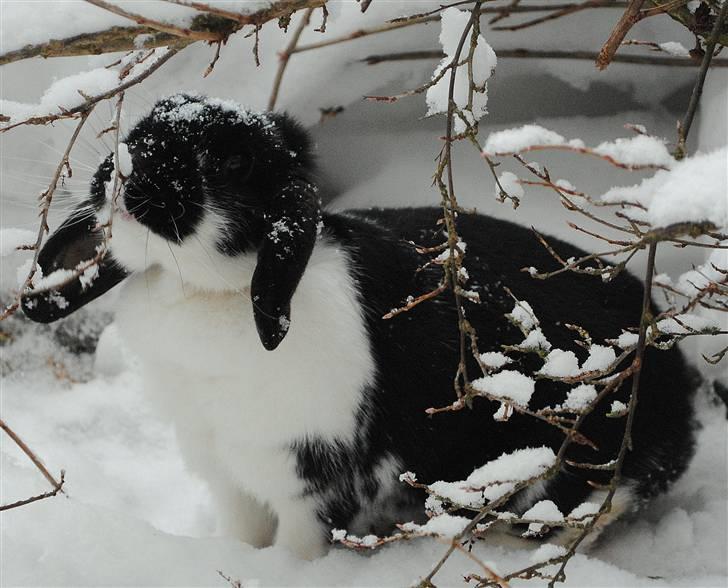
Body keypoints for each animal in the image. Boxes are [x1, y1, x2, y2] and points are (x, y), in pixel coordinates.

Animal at [19, 94, 696, 560]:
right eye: (143, 124)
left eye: (234, 160)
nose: (125, 167)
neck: (210, 287)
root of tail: (676, 384)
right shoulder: (227, 474)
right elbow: (242, 534)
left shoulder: (310, 479)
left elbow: (299, 547)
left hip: (567, 467)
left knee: (591, 510)